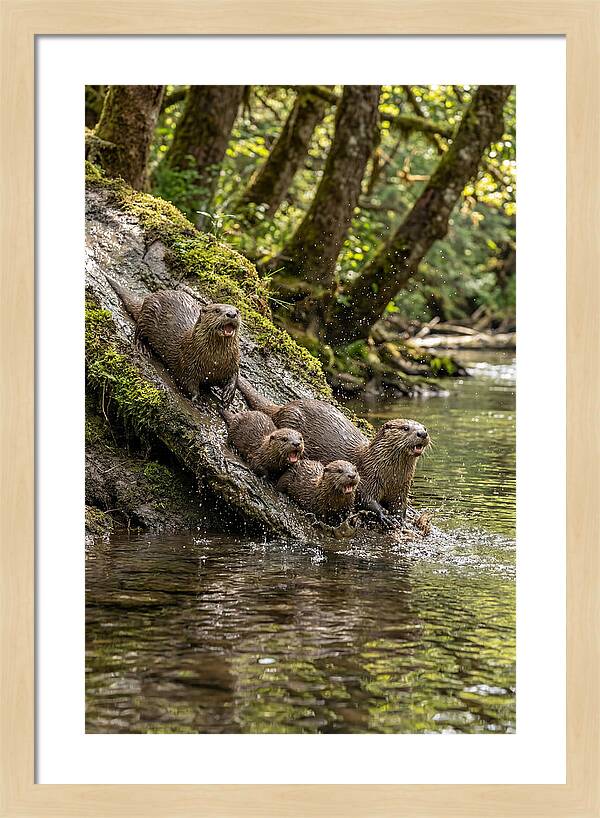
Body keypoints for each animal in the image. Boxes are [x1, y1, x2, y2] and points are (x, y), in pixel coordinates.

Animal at [106, 277, 240, 406]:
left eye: (237, 311)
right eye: (217, 310)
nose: (231, 314)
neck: (214, 362)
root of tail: (151, 296)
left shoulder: (232, 362)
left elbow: (234, 375)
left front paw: (228, 394)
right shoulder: (188, 362)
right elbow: (187, 383)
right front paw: (198, 400)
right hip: (148, 313)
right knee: (139, 329)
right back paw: (142, 347)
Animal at [238, 378, 429, 527]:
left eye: (424, 427)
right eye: (406, 428)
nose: (422, 433)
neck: (390, 475)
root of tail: (284, 408)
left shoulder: (401, 488)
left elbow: (400, 505)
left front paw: (401, 519)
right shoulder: (368, 478)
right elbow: (366, 499)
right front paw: (385, 515)